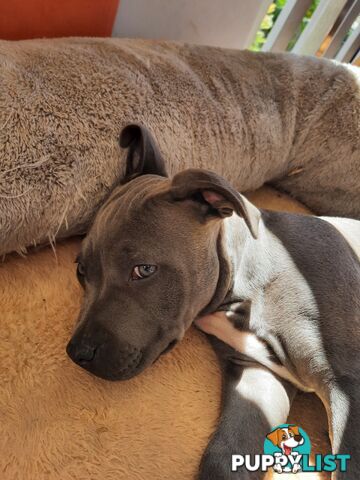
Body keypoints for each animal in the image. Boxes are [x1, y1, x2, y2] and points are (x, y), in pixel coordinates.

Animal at [67, 124, 360, 480]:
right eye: (81, 271)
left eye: (144, 270)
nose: (77, 353)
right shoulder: (256, 376)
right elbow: (225, 454)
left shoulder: (347, 382)